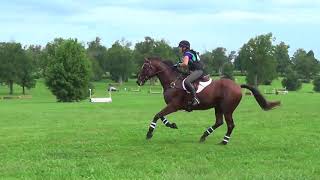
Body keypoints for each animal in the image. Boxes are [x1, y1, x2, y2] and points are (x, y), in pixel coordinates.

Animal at [136, 57, 280, 145]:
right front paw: (172, 125)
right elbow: (161, 116)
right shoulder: (172, 106)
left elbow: (157, 115)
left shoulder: (174, 105)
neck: (172, 82)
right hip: (218, 107)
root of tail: (237, 86)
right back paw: (203, 136)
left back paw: (224, 141)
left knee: (230, 125)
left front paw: (149, 133)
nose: (138, 81)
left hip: (227, 109)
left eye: (145, 68)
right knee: (219, 122)